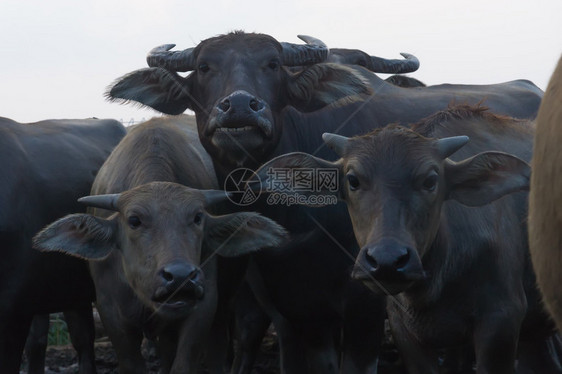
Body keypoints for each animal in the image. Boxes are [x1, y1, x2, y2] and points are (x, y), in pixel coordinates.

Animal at [33, 114, 284, 374]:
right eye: (134, 220)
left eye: (198, 217)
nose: (181, 276)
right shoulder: (111, 313)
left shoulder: (203, 306)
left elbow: (184, 363)